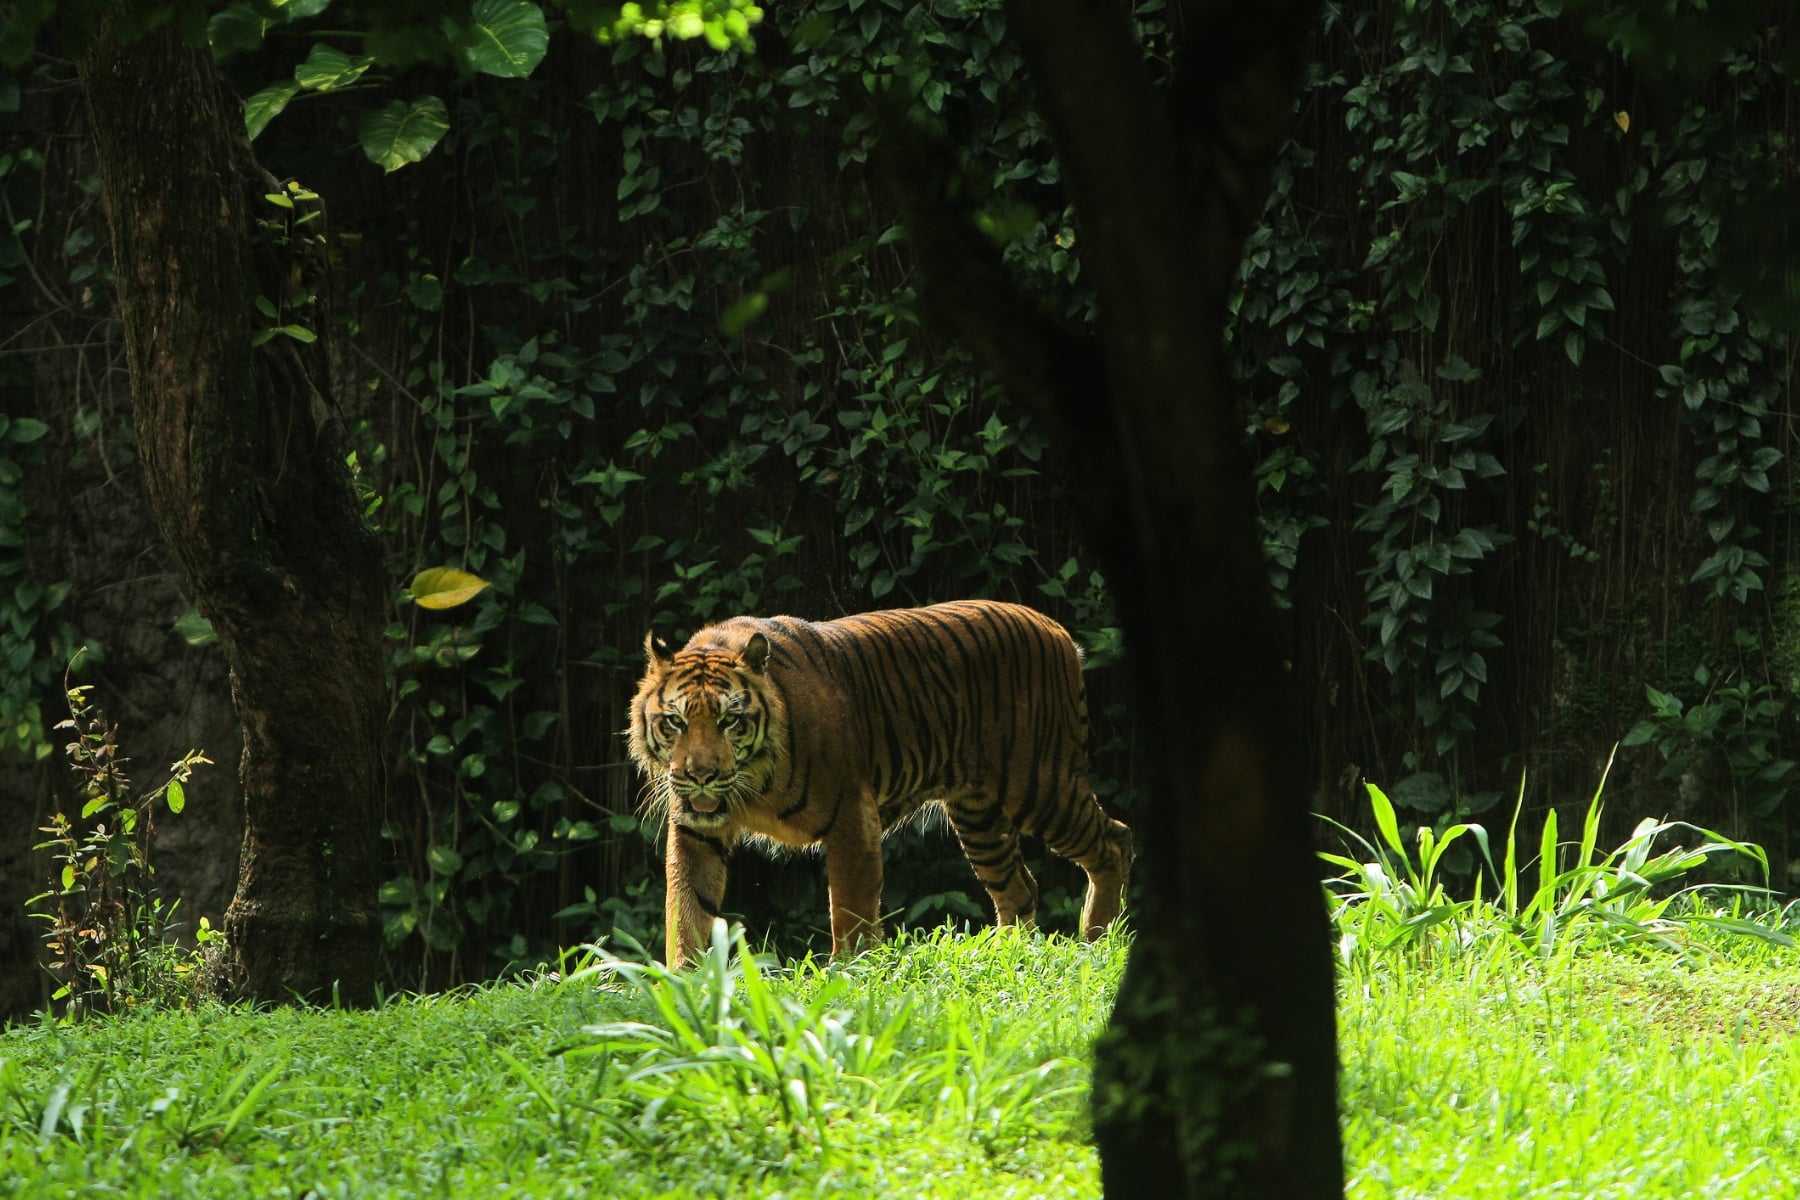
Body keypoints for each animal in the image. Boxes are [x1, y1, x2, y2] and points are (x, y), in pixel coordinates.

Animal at [627, 598, 1134, 968]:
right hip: (979, 816)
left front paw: (849, 974)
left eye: (729, 721)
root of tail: (1058, 631)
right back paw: (1009, 955)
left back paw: (1096, 939)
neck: (752, 785)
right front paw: (687, 986)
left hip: (1040, 784)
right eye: (675, 722)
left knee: (1115, 841)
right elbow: (686, 907)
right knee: (1019, 887)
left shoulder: (851, 813)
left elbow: (850, 907)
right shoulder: (696, 830)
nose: (701, 775)